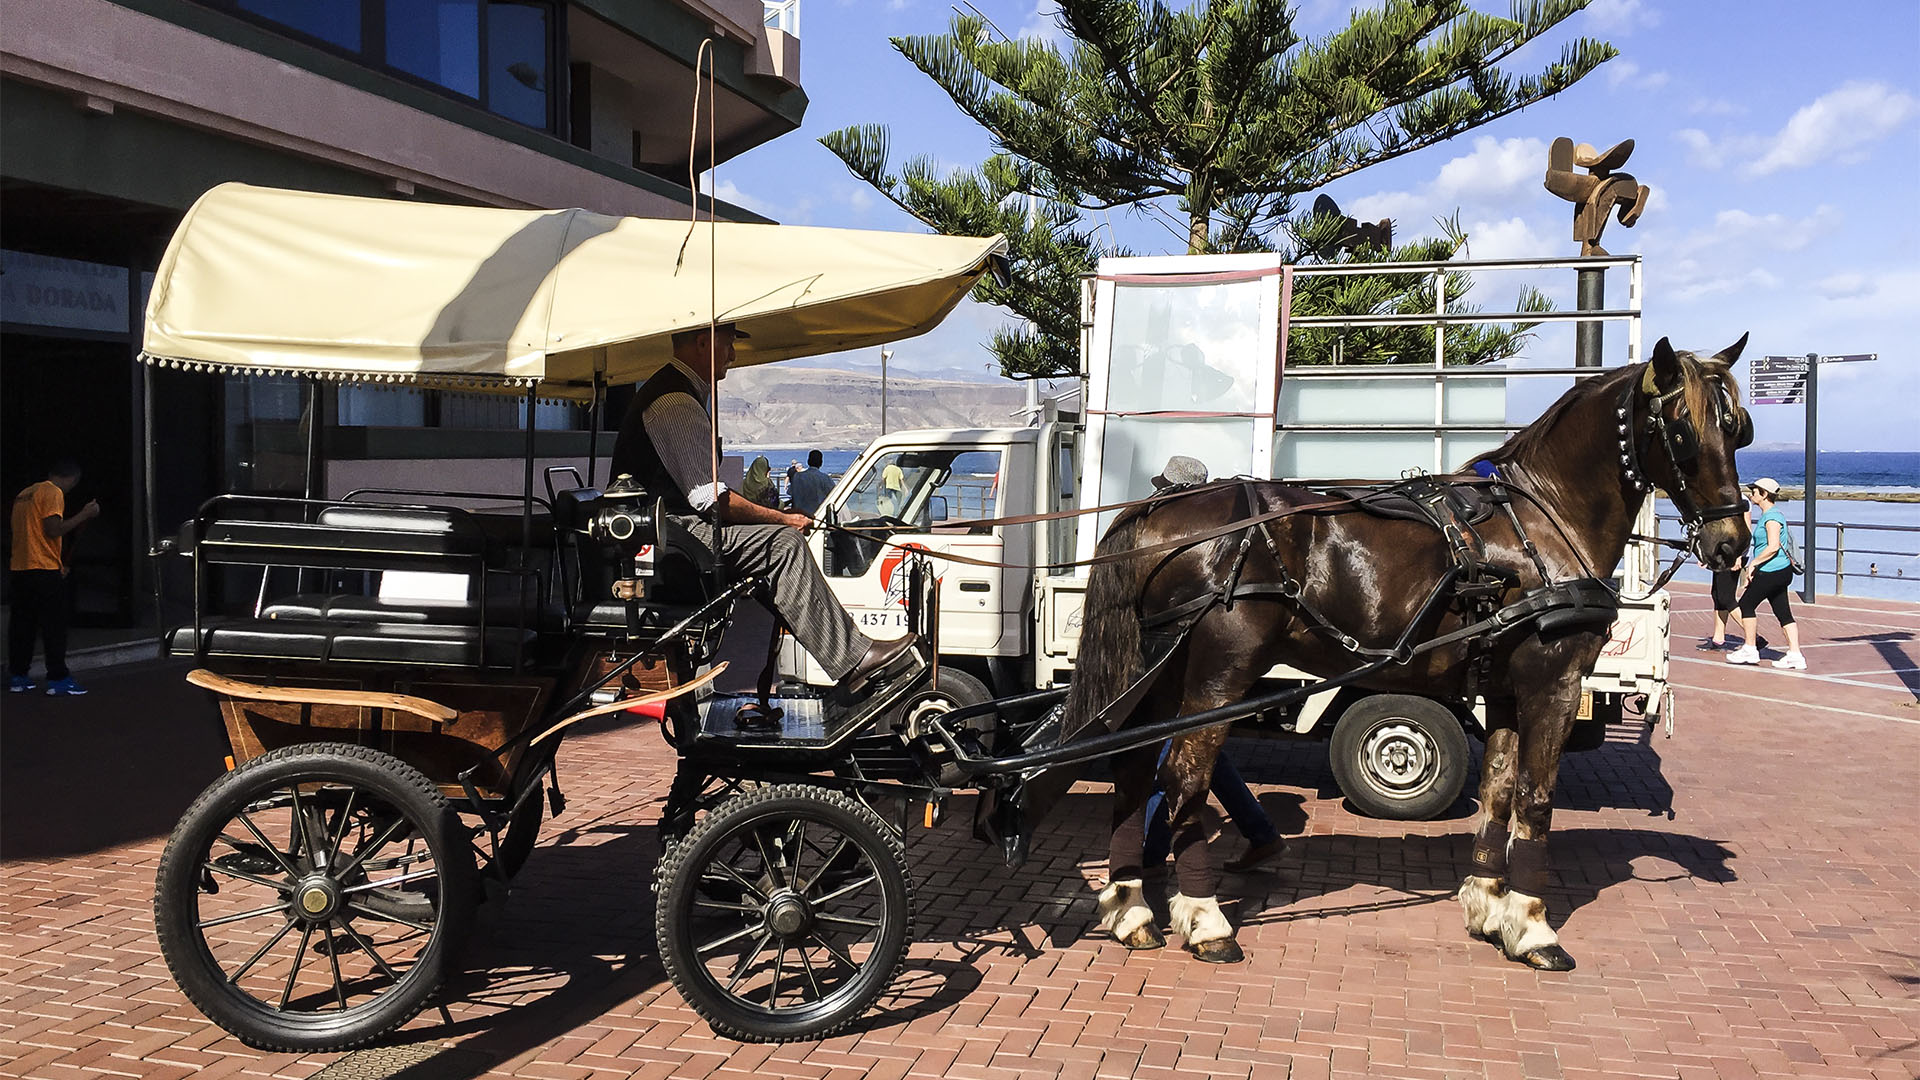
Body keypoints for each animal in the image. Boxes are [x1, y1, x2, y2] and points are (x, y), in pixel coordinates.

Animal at [1036, 334, 1758, 968]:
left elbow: (1498, 791)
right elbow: (1536, 800)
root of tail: (1159, 510)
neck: (1544, 519)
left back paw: (1131, 908)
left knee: (1133, 770)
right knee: (1183, 776)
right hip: (1218, 672)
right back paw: (1206, 920)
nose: (1731, 542)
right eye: (1684, 431)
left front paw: (1487, 905)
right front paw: (1533, 927)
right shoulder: (1553, 680)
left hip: (1160, 673)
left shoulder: (1503, 687)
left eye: (1737, 428)